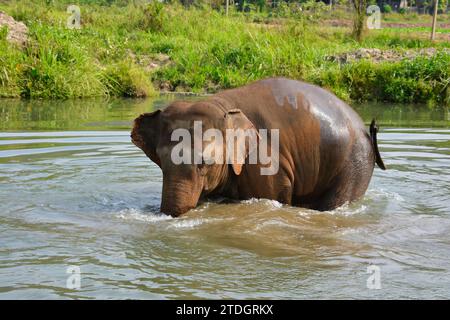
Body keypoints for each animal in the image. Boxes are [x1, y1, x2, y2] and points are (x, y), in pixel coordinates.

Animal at [131, 78, 386, 218]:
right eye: (162, 164)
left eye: (204, 163)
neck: (222, 105)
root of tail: (365, 128)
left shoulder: (265, 162)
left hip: (354, 164)